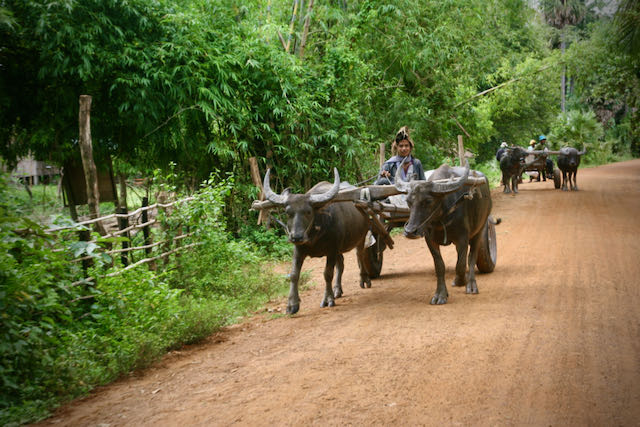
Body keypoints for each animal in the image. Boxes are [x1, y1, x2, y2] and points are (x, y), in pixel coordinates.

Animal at [262, 170, 372, 314]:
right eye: (287, 212)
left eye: (308, 212)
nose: (296, 237)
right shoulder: (299, 250)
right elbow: (293, 275)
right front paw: (292, 305)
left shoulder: (331, 250)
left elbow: (327, 274)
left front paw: (328, 299)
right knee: (341, 264)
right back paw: (337, 290)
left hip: (361, 236)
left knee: (360, 255)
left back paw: (364, 279)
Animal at [398, 162, 498, 306]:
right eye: (408, 201)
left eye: (428, 201)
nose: (410, 231)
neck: (441, 219)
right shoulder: (430, 240)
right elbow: (439, 266)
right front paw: (440, 295)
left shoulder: (463, 238)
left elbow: (461, 265)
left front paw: (460, 281)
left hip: (480, 229)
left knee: (471, 257)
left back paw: (471, 285)